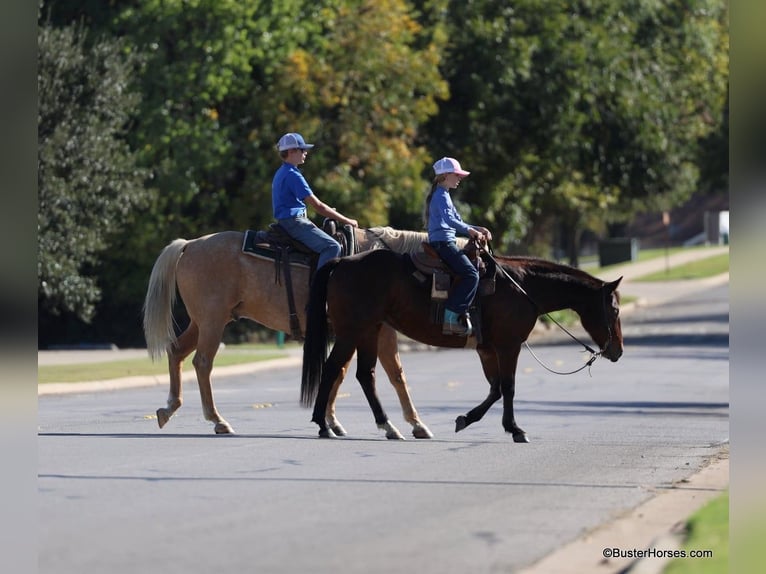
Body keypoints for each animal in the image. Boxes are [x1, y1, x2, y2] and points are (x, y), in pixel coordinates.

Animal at [143, 226, 451, 437]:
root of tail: (190, 244)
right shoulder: (379, 331)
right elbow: (395, 374)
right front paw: (415, 424)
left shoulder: (350, 333)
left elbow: (338, 373)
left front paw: (331, 420)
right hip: (212, 322)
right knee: (203, 363)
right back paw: (217, 420)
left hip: (202, 322)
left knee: (176, 352)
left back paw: (169, 408)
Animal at [301, 247, 624, 442]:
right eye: (615, 309)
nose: (617, 351)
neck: (522, 287)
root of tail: (343, 262)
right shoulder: (508, 346)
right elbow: (508, 387)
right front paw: (515, 429)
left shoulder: (487, 349)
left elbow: (495, 389)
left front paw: (466, 419)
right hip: (351, 332)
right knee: (332, 370)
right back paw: (323, 425)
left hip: (370, 330)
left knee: (365, 375)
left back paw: (388, 426)